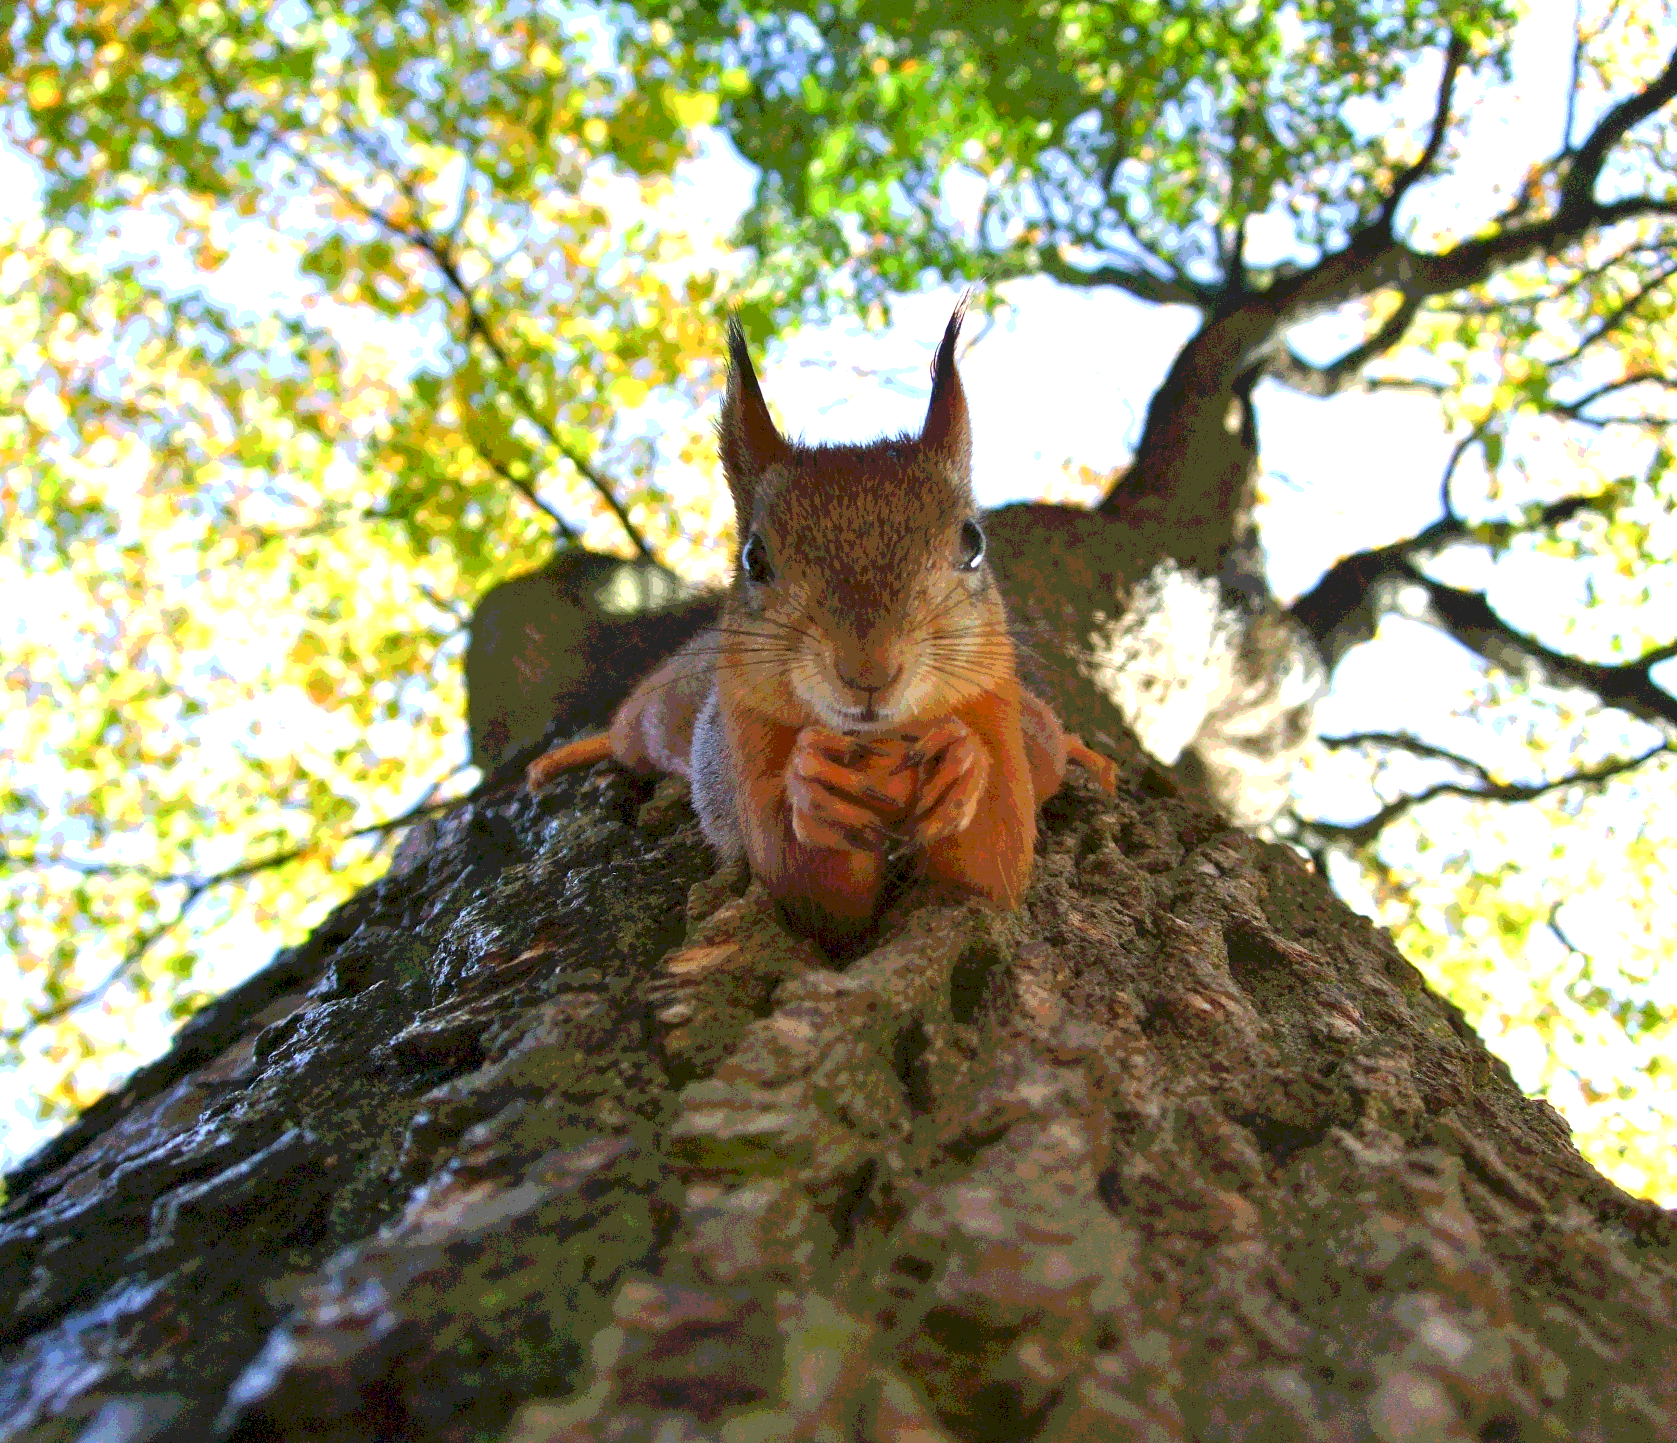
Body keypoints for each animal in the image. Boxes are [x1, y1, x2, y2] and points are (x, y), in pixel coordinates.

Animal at [529, 298, 1120, 939]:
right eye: (754, 558)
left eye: (973, 543)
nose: (868, 671)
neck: (881, 743)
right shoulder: (745, 737)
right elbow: (808, 890)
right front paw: (811, 788)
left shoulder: (994, 707)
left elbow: (995, 866)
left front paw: (965, 763)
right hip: (657, 720)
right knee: (624, 733)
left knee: (1050, 742)